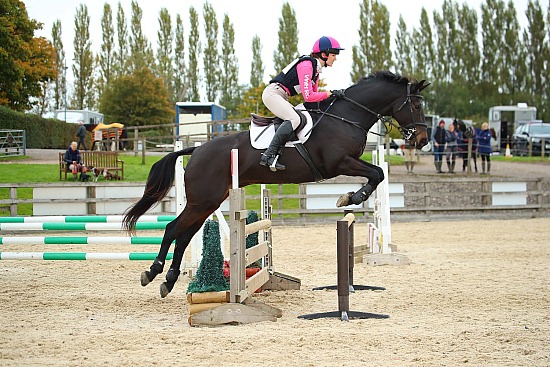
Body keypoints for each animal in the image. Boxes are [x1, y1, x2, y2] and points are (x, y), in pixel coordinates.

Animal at [124, 70, 432, 298]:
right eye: (416, 105)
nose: (422, 140)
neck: (347, 116)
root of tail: (196, 150)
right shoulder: (339, 163)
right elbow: (378, 174)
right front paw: (350, 198)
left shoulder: (347, 163)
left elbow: (377, 173)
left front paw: (349, 197)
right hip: (203, 200)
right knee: (172, 229)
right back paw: (153, 272)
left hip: (208, 202)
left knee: (185, 234)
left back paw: (169, 280)